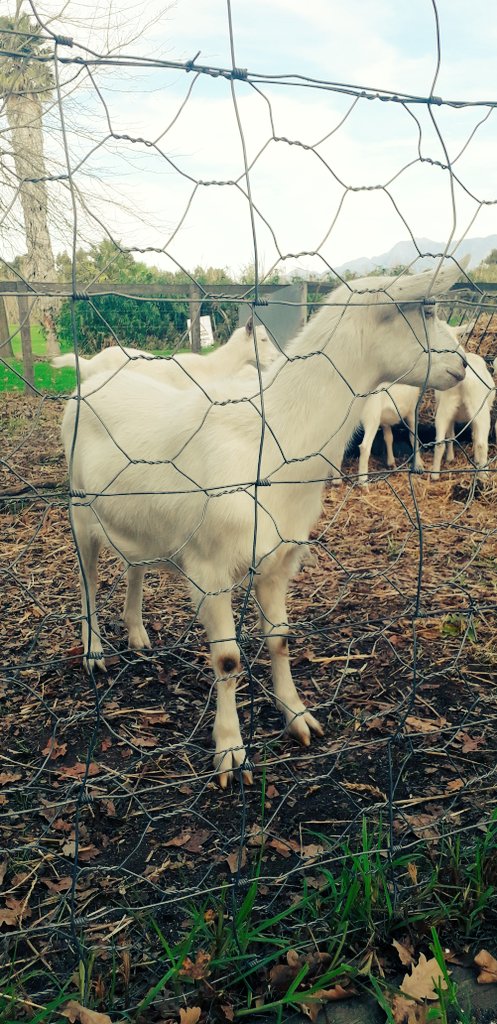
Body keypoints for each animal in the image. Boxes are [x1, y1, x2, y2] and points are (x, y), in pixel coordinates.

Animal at [431, 350, 495, 480]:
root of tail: (463, 381)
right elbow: (475, 437)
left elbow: (451, 435)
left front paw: (450, 458)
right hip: (480, 408)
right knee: (482, 443)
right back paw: (484, 475)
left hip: (445, 409)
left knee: (439, 443)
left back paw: (435, 475)